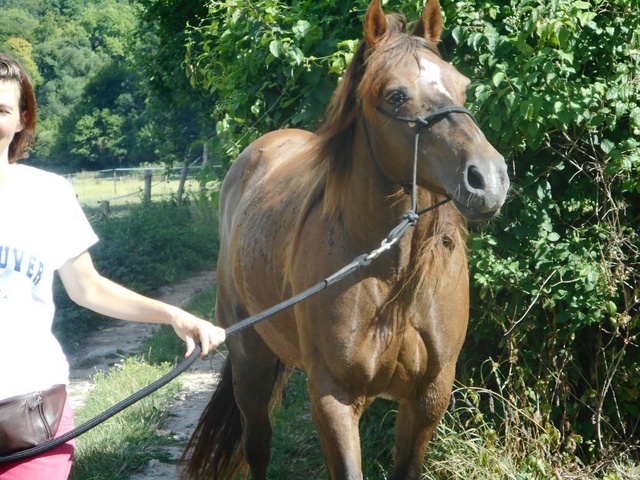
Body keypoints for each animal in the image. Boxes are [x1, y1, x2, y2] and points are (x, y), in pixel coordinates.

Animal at [182, 0, 508, 480]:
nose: (488, 178)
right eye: (396, 95)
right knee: (257, 444)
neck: (389, 273)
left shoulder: (428, 398)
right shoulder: (333, 397)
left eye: (463, 86)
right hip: (250, 359)